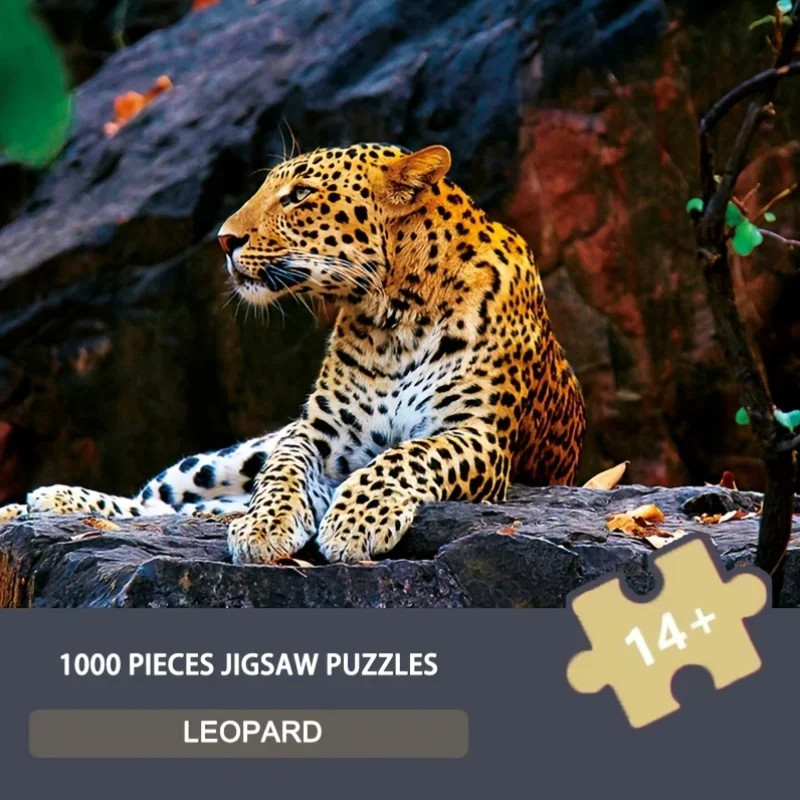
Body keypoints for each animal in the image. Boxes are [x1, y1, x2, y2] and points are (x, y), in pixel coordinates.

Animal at [0, 143, 586, 564]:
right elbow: (282, 472)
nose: (223, 240)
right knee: (162, 499)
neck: (395, 315)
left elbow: (407, 456)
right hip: (219, 461)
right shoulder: (318, 433)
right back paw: (45, 501)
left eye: (300, 194)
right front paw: (266, 526)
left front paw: (355, 523)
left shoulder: (477, 435)